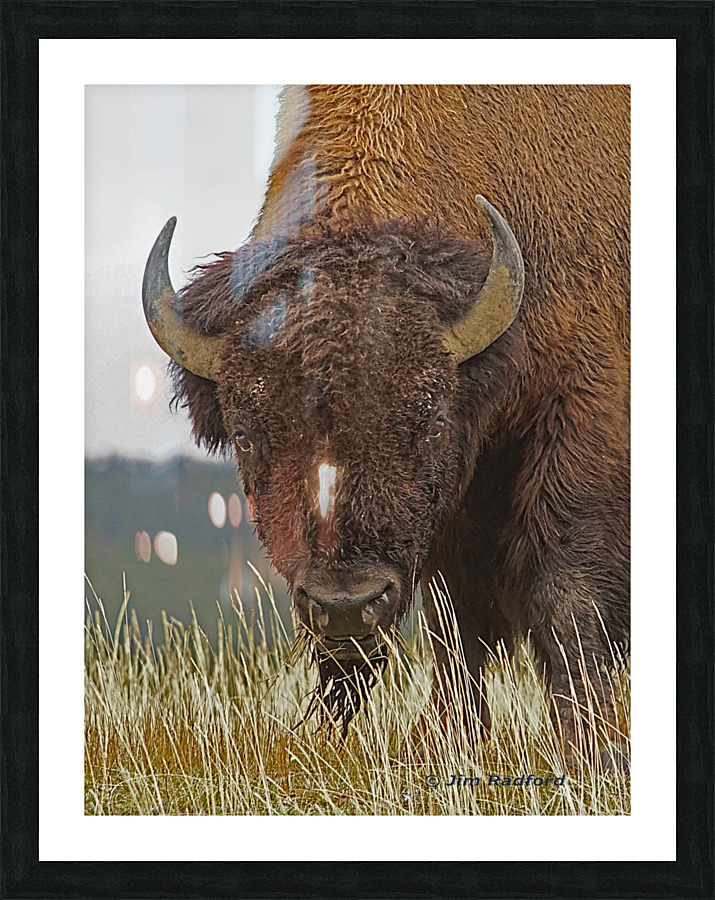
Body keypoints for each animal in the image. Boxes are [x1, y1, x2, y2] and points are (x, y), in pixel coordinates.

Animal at [142, 85, 630, 750]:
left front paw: (590, 750)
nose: (347, 604)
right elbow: (455, 621)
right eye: (245, 436)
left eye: (431, 422)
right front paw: (448, 737)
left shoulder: (581, 422)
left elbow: (565, 596)